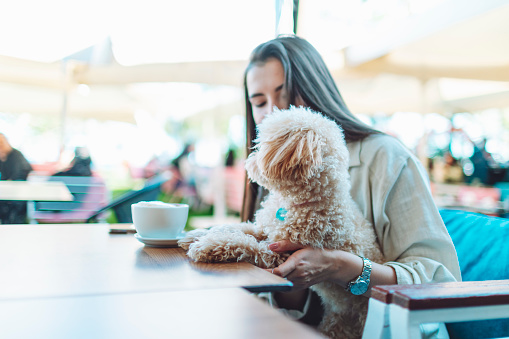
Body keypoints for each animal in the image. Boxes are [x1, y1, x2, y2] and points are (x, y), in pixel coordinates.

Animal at [179, 107, 380, 339]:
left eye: (261, 145)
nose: (249, 160)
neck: (297, 203)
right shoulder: (265, 229)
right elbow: (238, 228)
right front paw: (196, 234)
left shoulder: (279, 253)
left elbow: (245, 244)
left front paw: (208, 246)